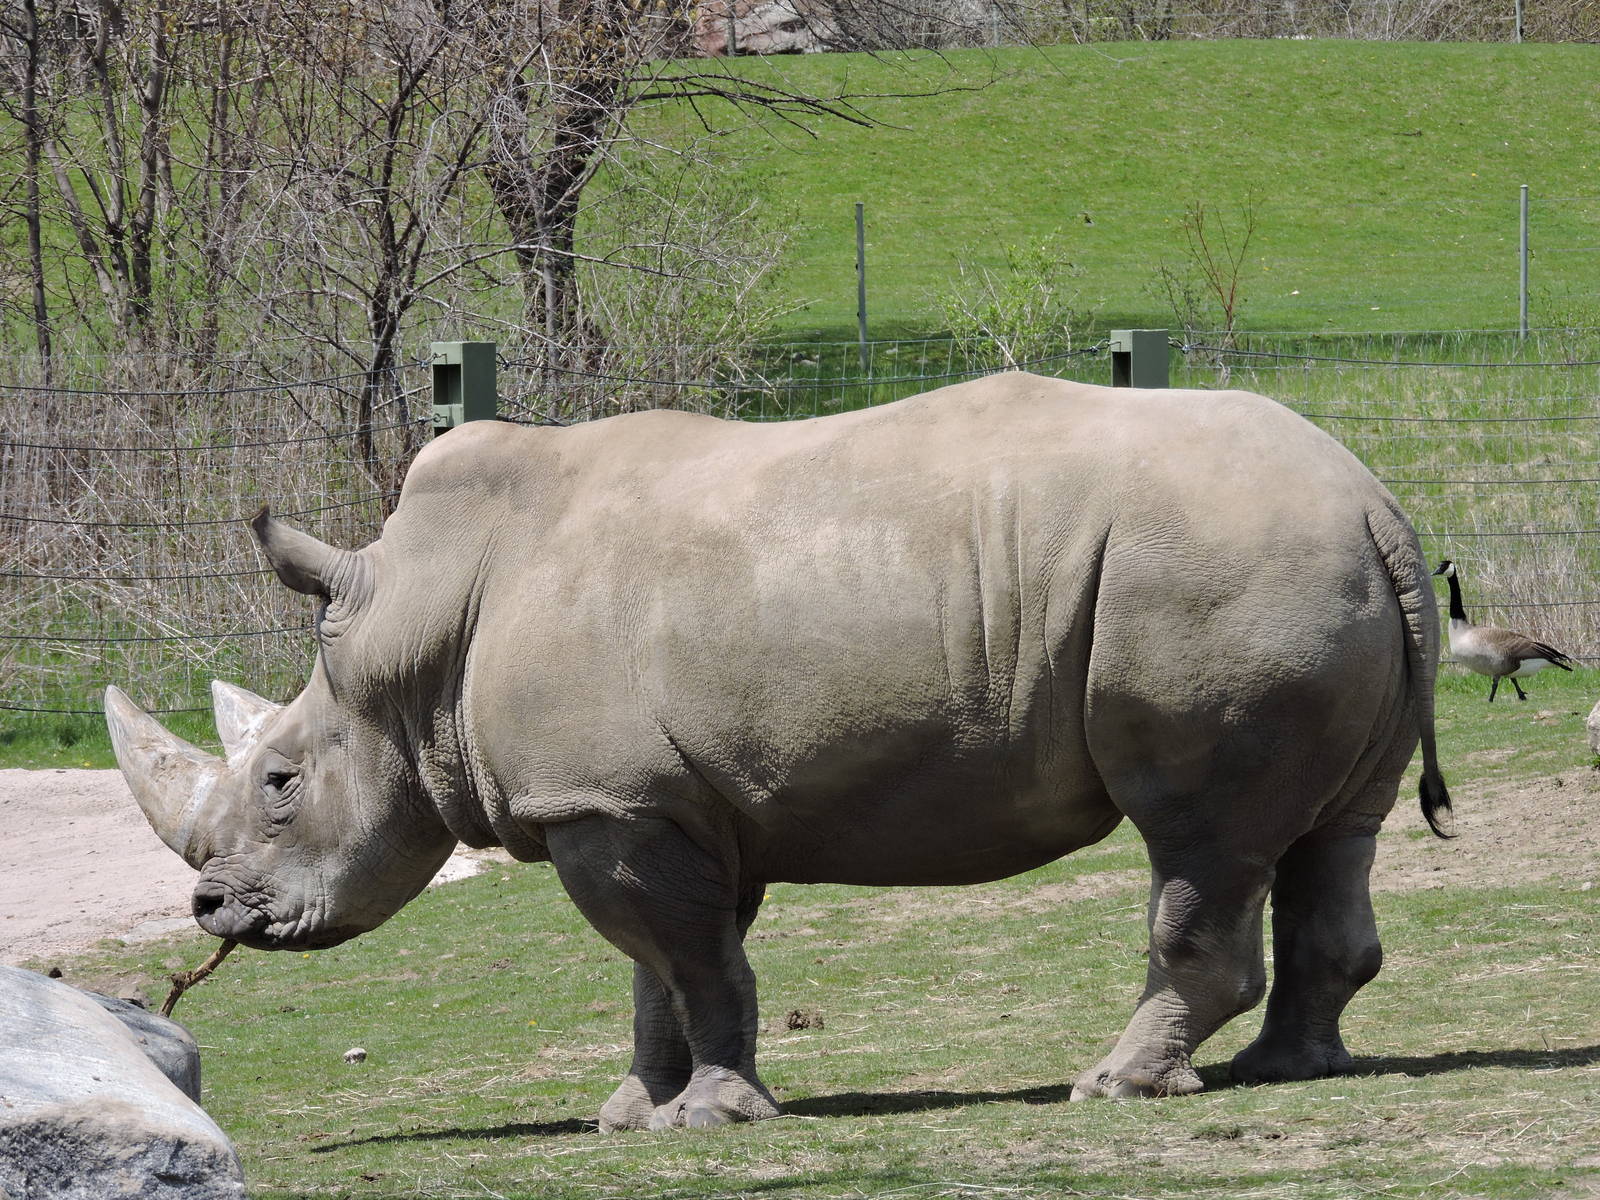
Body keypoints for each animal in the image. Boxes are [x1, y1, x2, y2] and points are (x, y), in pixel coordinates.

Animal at [106, 372, 1451, 1131]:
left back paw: (1115, 1089)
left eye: (282, 784)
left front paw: (711, 1121)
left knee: (1198, 839)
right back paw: (1289, 1072)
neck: (413, 645)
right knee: (1331, 831)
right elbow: (658, 969)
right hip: (1303, 569)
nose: (210, 906)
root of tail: (1373, 501)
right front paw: (629, 1118)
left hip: (1214, 573)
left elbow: (692, 964)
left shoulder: (610, 802)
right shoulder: (654, 800)